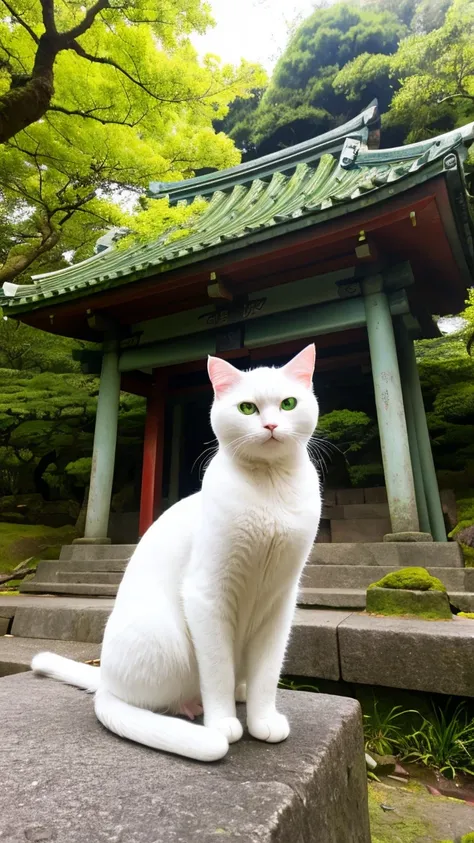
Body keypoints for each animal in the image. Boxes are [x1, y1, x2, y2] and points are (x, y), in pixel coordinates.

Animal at [32, 342, 322, 764]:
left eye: (287, 404)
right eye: (247, 408)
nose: (270, 426)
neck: (269, 492)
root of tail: (104, 681)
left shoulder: (281, 599)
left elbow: (268, 672)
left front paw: (263, 719)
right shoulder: (207, 594)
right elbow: (216, 671)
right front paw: (223, 723)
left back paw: (241, 694)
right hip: (163, 639)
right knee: (147, 698)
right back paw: (189, 707)